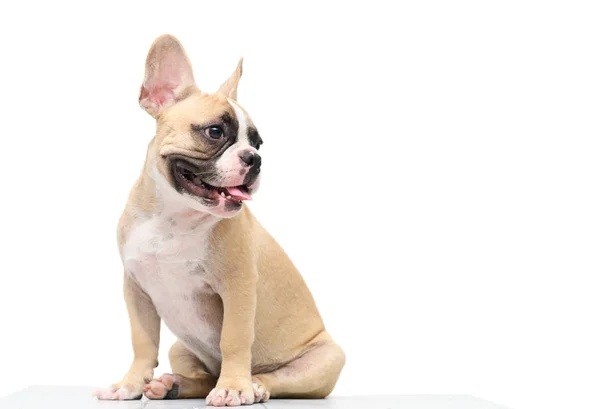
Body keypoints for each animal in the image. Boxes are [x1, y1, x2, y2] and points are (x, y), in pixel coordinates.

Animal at [94, 35, 346, 404]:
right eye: (215, 131)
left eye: (258, 143)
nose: (255, 159)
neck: (175, 217)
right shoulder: (136, 289)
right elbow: (143, 342)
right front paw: (130, 384)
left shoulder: (237, 288)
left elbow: (234, 340)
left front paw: (234, 387)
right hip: (180, 348)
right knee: (201, 376)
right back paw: (172, 385)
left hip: (326, 359)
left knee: (271, 379)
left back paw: (251, 385)